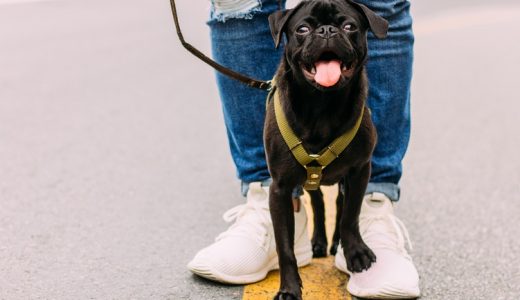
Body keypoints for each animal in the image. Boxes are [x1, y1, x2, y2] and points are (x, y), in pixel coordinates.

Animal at [264, 0, 386, 298]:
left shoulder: (359, 171)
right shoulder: (279, 189)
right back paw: (319, 241)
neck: (322, 105)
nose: (327, 30)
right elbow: (285, 247)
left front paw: (355, 252)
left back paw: (336, 242)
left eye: (350, 26)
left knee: (340, 204)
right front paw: (289, 288)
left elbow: (351, 215)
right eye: (302, 29)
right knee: (318, 201)